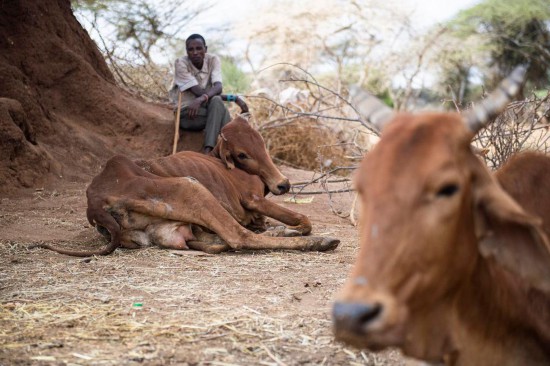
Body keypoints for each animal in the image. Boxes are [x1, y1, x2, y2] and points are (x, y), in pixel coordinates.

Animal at [36, 116, 338, 256]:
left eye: (262, 142)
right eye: (242, 154)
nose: (283, 184)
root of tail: (95, 203)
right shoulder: (253, 198)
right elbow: (303, 219)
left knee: (219, 239)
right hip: (190, 187)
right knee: (238, 237)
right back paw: (319, 242)